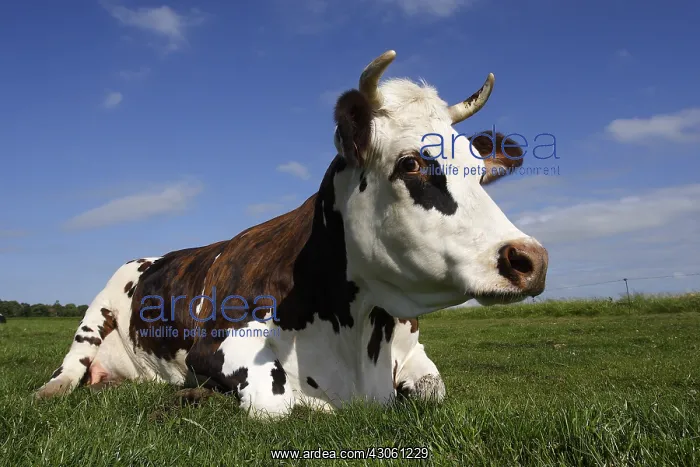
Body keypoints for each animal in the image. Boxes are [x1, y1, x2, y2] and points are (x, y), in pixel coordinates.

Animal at [35, 50, 548, 418]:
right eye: (410, 163)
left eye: (480, 169)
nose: (531, 259)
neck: (358, 335)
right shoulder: (214, 351)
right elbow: (280, 405)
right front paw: (197, 397)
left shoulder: (414, 353)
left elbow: (430, 390)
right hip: (94, 312)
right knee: (70, 366)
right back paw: (51, 390)